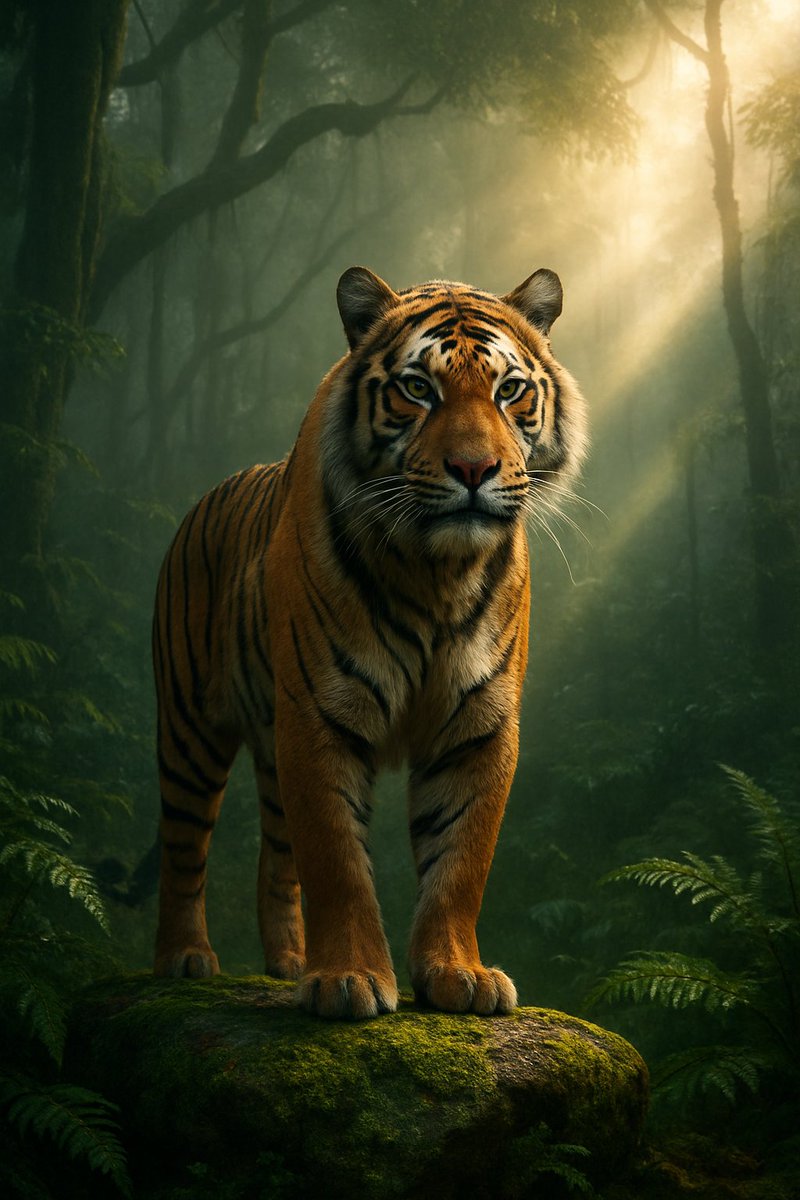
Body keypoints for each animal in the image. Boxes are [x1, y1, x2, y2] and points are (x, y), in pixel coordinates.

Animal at [153, 265, 587, 1019]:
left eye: (509, 390)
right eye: (417, 388)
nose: (474, 469)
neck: (437, 570)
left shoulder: (479, 723)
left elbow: (460, 859)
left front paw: (459, 975)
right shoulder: (319, 712)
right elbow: (337, 858)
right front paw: (348, 979)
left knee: (276, 858)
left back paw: (287, 963)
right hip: (189, 729)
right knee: (184, 846)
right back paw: (183, 959)